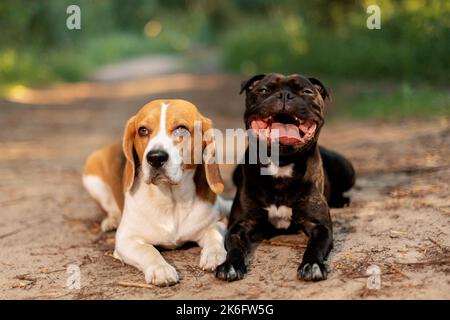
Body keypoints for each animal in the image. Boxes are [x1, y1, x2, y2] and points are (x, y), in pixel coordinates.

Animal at [81, 99, 229, 284]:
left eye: (181, 128)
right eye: (143, 130)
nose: (156, 157)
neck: (171, 200)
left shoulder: (216, 222)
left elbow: (214, 234)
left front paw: (214, 255)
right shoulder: (125, 239)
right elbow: (148, 251)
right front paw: (161, 269)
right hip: (92, 179)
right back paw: (111, 220)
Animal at [215, 74, 356, 282]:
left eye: (307, 91)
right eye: (263, 90)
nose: (284, 95)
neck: (281, 163)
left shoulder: (320, 226)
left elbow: (314, 246)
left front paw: (312, 265)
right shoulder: (239, 226)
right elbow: (234, 247)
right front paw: (230, 265)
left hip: (347, 170)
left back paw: (341, 201)